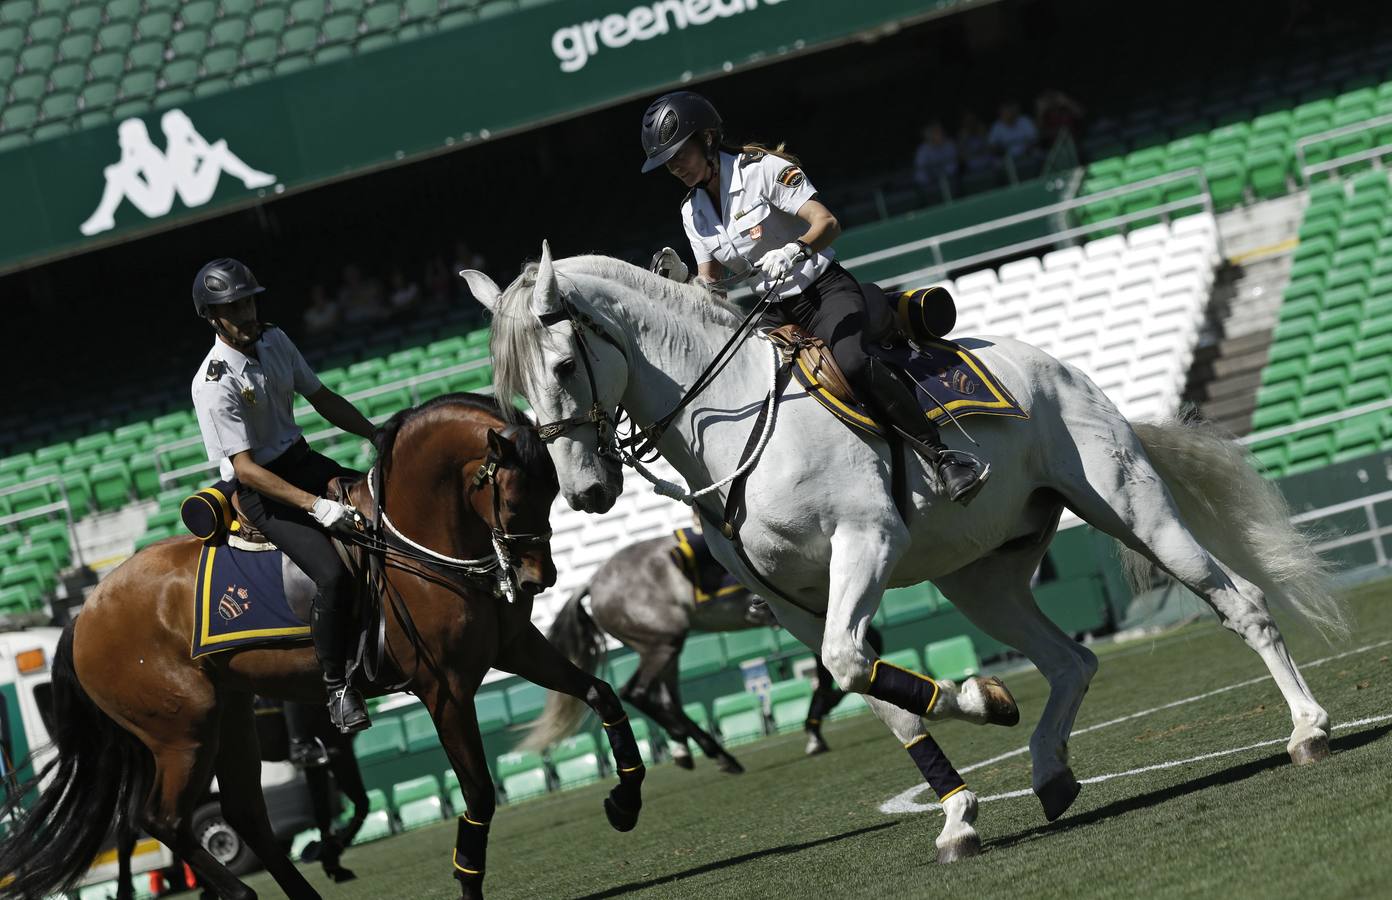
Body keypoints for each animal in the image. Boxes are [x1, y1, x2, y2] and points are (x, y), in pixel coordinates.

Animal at [0, 395, 645, 900]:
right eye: (512, 497)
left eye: (553, 489)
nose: (539, 577)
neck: (416, 541)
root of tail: (84, 614)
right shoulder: (445, 689)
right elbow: (480, 791)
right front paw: (467, 879)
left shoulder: (514, 648)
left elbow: (602, 693)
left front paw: (625, 799)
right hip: (183, 730)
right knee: (158, 817)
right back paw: (238, 891)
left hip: (230, 718)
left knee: (244, 813)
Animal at [464, 246, 1336, 868]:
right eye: (515, 393)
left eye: (565, 365)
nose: (585, 491)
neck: (731, 416)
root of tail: (1059, 367)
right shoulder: (795, 603)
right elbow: (877, 694)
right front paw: (957, 808)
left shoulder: (867, 541)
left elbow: (851, 664)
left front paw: (981, 700)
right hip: (982, 580)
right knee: (1071, 661)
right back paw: (1048, 771)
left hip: (1131, 508)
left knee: (1242, 604)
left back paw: (1309, 729)